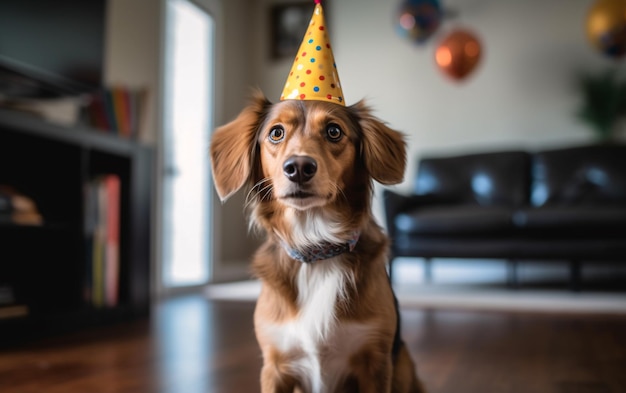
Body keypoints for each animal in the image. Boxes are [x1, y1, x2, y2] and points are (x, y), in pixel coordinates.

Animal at [211, 89, 424, 392]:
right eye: (276, 132)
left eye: (334, 131)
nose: (299, 167)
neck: (315, 248)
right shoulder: (275, 367)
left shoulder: (376, 365)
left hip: (403, 364)